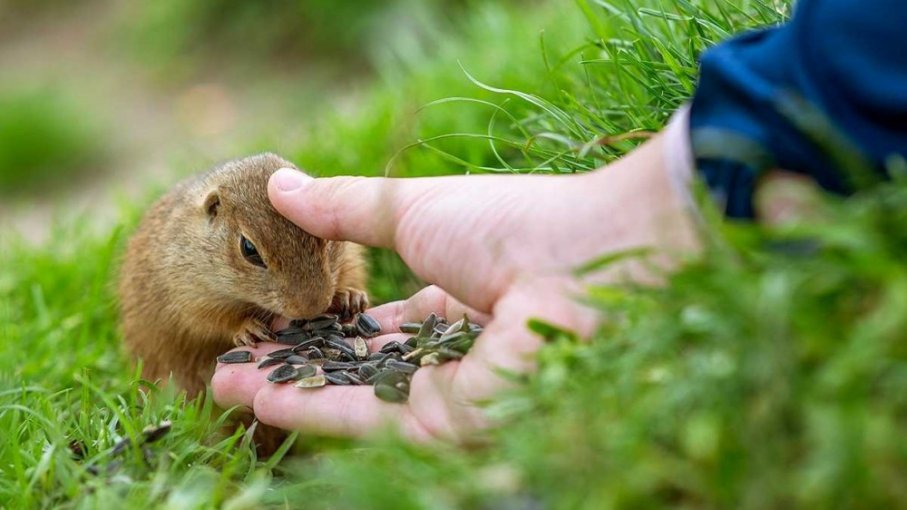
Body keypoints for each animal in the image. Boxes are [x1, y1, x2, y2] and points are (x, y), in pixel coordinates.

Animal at [120, 153, 368, 396]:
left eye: (323, 235)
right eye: (249, 248)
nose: (312, 307)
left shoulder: (349, 256)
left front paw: (349, 295)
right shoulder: (187, 293)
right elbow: (207, 321)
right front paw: (247, 327)